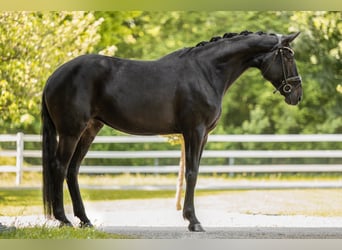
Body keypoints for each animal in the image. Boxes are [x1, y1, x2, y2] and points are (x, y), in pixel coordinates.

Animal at [41, 31, 300, 232]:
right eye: (288, 56)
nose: (297, 94)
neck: (206, 72)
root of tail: (54, 76)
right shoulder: (194, 131)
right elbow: (191, 173)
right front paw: (193, 221)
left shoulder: (203, 135)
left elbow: (193, 173)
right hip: (71, 132)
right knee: (60, 166)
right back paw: (63, 219)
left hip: (89, 130)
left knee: (72, 170)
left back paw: (84, 220)